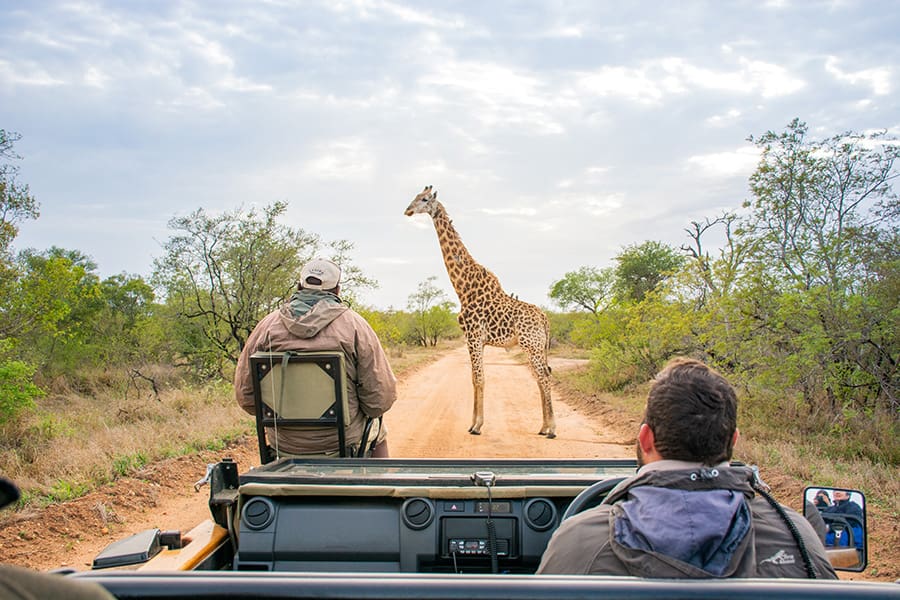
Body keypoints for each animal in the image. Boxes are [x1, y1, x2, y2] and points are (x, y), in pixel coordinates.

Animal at [404, 185, 556, 438]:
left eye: (424, 199)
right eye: (415, 197)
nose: (407, 210)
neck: (463, 288)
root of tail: (545, 319)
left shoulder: (473, 337)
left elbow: (478, 379)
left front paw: (476, 426)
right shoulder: (477, 340)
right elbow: (475, 378)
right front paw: (473, 423)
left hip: (532, 345)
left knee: (544, 377)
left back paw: (552, 429)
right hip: (535, 347)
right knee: (540, 377)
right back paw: (543, 427)